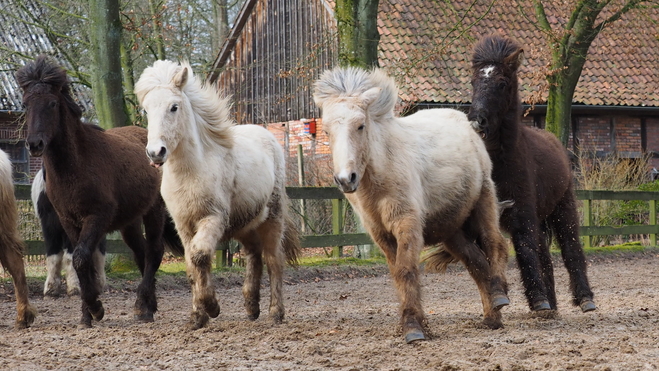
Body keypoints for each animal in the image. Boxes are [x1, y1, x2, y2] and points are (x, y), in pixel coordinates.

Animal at [137, 61, 302, 332]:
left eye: (174, 107)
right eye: (146, 110)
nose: (155, 152)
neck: (192, 171)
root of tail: (268, 136)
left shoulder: (212, 219)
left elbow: (200, 256)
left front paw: (211, 307)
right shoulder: (184, 227)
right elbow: (191, 266)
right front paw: (197, 316)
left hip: (272, 219)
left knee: (273, 260)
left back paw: (275, 313)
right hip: (246, 223)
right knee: (254, 256)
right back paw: (251, 307)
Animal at [314, 67, 510, 342]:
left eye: (360, 126)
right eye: (327, 131)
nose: (345, 179)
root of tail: (467, 124)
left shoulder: (406, 224)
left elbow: (407, 270)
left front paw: (413, 327)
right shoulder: (381, 235)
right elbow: (398, 273)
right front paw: (415, 324)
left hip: (483, 201)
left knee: (495, 245)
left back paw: (500, 295)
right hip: (451, 230)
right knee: (475, 262)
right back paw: (492, 316)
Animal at [470, 34, 600, 314]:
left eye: (502, 83)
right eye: (474, 81)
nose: (476, 121)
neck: (501, 163)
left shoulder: (522, 213)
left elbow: (525, 250)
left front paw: (538, 298)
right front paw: (498, 295)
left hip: (563, 207)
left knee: (570, 247)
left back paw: (584, 299)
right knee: (544, 254)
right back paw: (551, 305)